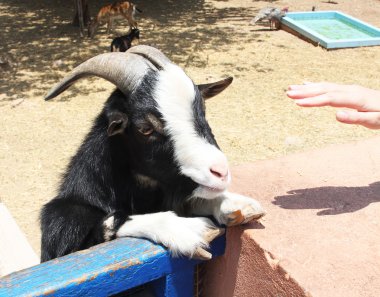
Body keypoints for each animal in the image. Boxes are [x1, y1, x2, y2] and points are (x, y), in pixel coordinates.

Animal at [40, 44, 264, 262]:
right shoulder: (63, 226)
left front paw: (235, 205)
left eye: (203, 111)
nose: (220, 173)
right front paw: (187, 229)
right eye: (146, 128)